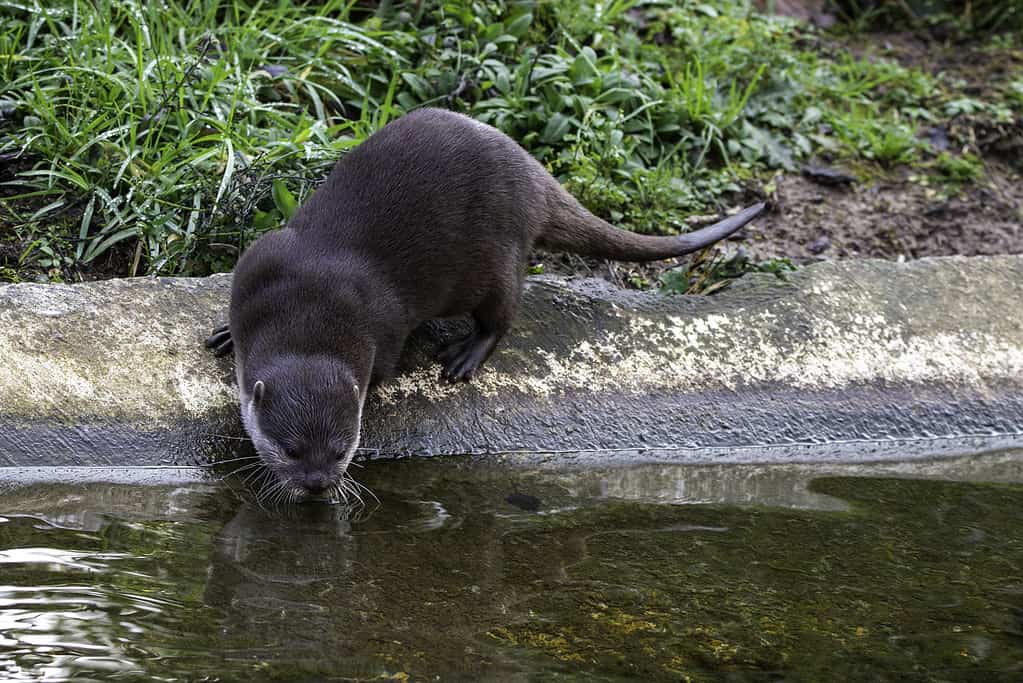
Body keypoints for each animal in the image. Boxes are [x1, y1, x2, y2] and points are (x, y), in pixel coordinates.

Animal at [207, 107, 765, 501]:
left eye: (343, 451)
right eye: (291, 449)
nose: (318, 484)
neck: (309, 305)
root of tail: (533, 175)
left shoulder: (383, 330)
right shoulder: (258, 263)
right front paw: (226, 335)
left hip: (496, 256)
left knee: (504, 309)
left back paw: (465, 355)